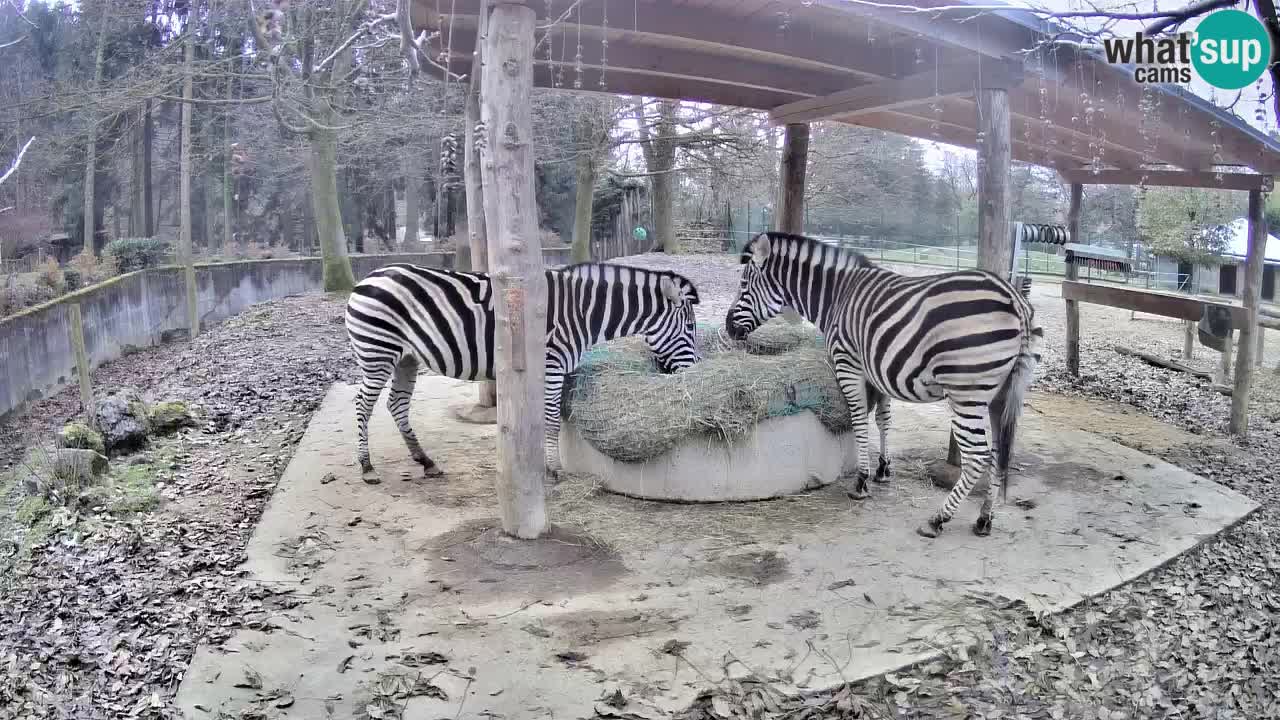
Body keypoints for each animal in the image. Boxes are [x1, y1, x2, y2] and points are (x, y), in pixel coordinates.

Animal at [343, 260, 701, 479]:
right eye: (690, 328)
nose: (694, 371)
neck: (582, 312)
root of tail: (368, 277)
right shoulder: (551, 364)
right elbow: (552, 420)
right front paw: (554, 469)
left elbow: (550, 419)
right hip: (377, 352)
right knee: (362, 405)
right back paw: (366, 467)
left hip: (406, 358)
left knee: (396, 404)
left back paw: (425, 461)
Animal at [727, 230, 1044, 538]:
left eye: (743, 284)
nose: (729, 328)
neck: (837, 296)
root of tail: (1015, 299)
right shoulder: (876, 370)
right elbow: (883, 419)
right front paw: (883, 468)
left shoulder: (848, 364)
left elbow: (859, 420)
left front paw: (861, 481)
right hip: (1001, 394)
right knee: (999, 453)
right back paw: (984, 518)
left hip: (966, 392)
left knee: (978, 457)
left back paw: (937, 520)